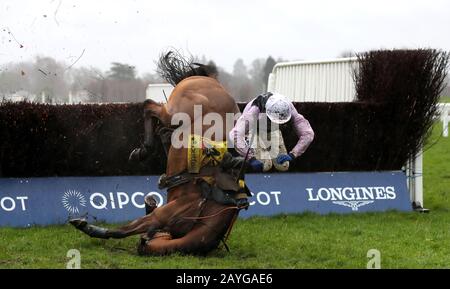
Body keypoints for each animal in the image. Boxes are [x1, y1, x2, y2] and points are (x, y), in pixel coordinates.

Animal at [69, 52, 250, 254]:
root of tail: (209, 80)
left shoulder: (160, 219)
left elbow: (126, 229)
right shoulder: (161, 216)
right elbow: (123, 229)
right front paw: (88, 226)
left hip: (175, 118)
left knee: (160, 126)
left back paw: (147, 150)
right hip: (175, 112)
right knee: (149, 106)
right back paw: (144, 149)